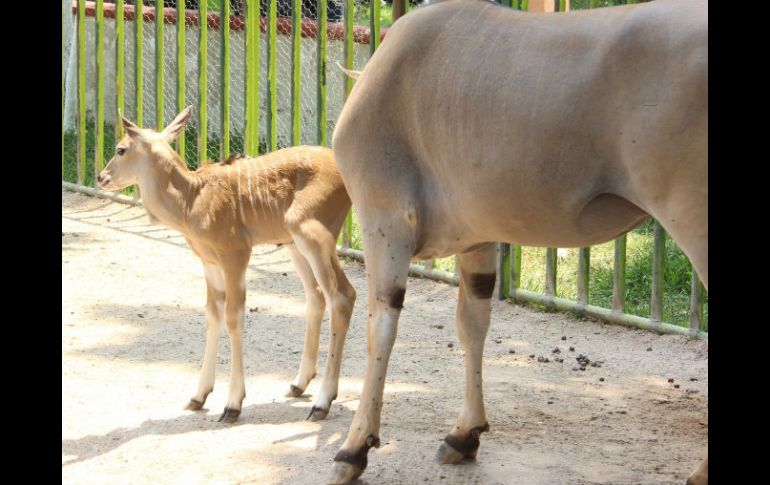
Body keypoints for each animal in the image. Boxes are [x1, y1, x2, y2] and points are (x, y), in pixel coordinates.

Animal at [97, 108, 356, 422]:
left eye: (121, 149)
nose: (101, 177)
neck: (191, 199)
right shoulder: (209, 263)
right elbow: (212, 315)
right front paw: (198, 397)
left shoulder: (236, 256)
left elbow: (234, 318)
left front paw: (232, 404)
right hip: (294, 243)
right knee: (316, 296)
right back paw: (298, 384)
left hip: (313, 235)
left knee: (341, 295)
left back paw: (322, 403)